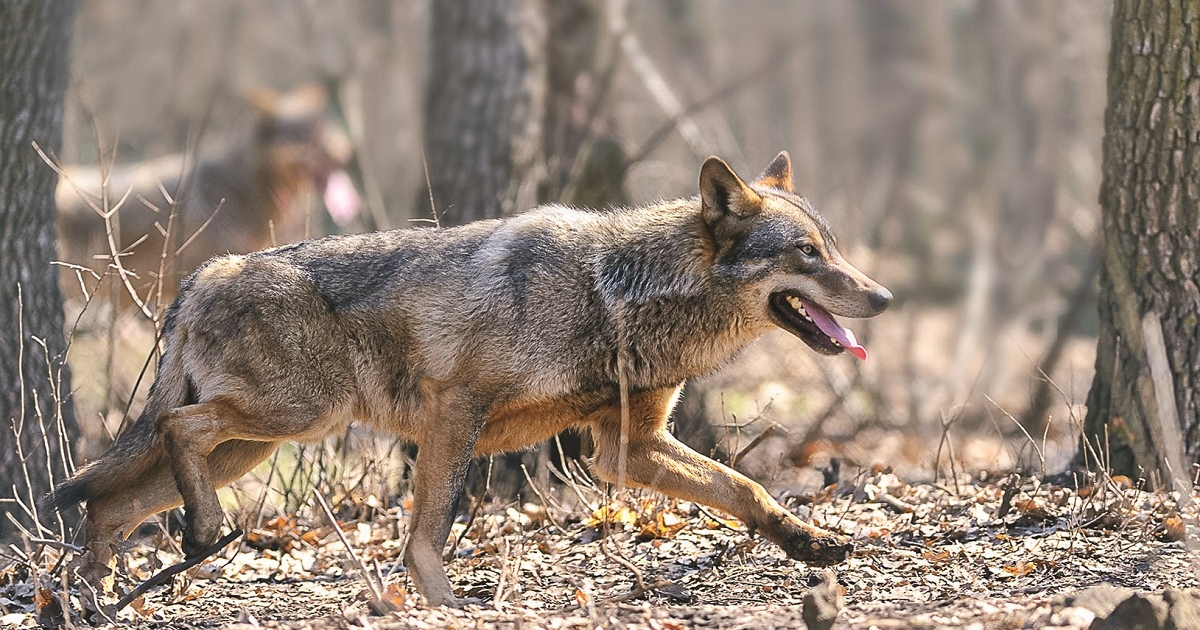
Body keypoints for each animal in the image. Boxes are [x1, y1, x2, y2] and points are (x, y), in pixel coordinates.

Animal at [49, 151, 892, 604]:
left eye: (832, 248)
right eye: (807, 254)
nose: (884, 297)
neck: (617, 293)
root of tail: (206, 273)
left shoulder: (625, 450)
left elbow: (745, 489)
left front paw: (811, 544)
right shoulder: (454, 415)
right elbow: (427, 532)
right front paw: (444, 607)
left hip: (255, 445)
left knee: (111, 504)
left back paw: (91, 594)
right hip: (293, 419)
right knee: (169, 430)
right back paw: (185, 538)